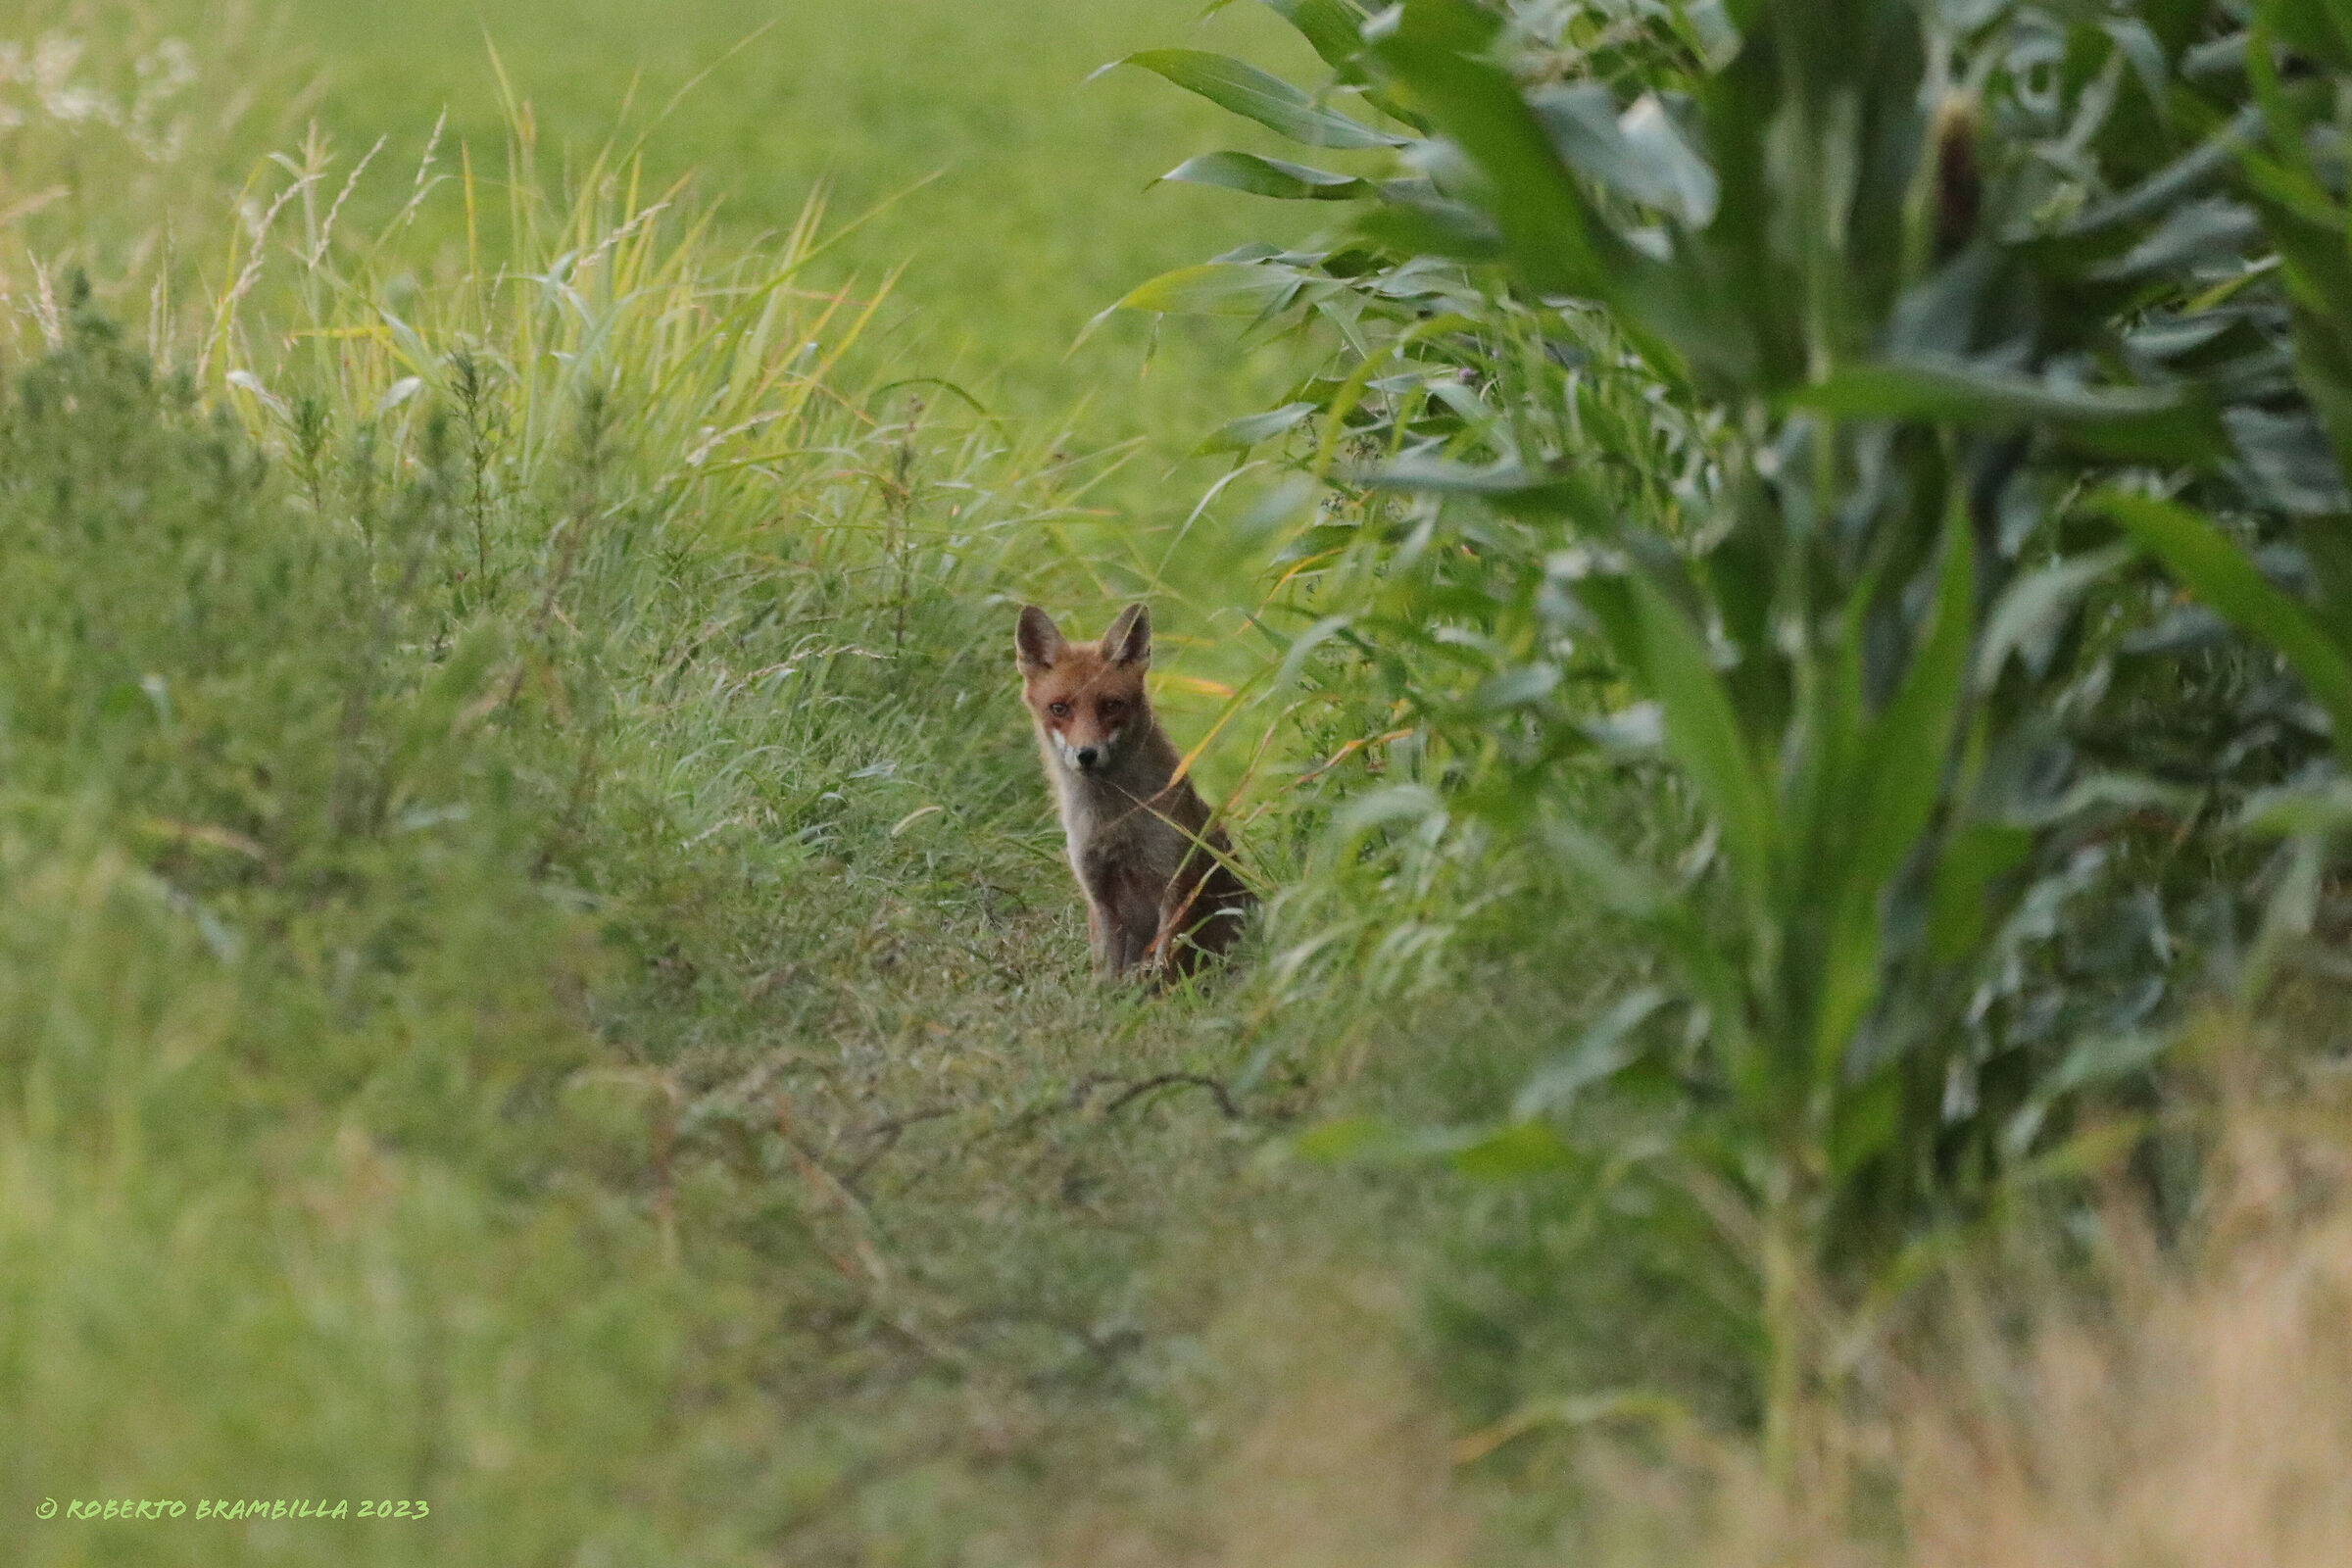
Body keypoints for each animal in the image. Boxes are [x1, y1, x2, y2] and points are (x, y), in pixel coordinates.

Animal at [1014, 601, 1254, 984]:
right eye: (1059, 708)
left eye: (1112, 705)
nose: (1086, 754)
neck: (1115, 822)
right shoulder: (1098, 894)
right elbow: (1107, 972)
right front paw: (1107, 995)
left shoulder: (1175, 882)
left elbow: (1165, 964)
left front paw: (1163, 994)